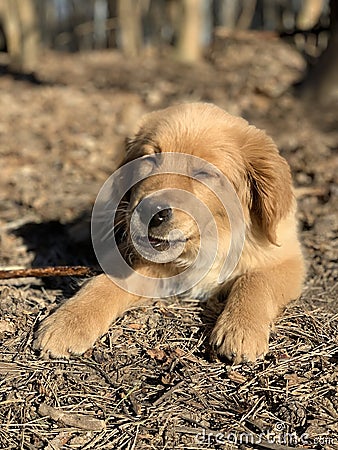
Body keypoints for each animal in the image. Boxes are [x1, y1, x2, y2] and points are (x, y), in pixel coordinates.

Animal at [35, 102, 306, 362]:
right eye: (149, 159)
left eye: (203, 172)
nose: (149, 211)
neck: (208, 242)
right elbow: (105, 281)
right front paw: (68, 322)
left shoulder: (286, 260)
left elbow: (255, 280)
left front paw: (240, 330)